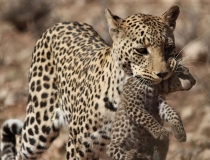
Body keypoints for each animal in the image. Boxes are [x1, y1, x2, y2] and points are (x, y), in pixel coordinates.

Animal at [0, 5, 193, 160]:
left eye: (168, 47)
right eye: (141, 50)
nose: (163, 74)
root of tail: (61, 23)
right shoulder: (79, 148)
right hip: (38, 127)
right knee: (21, 151)